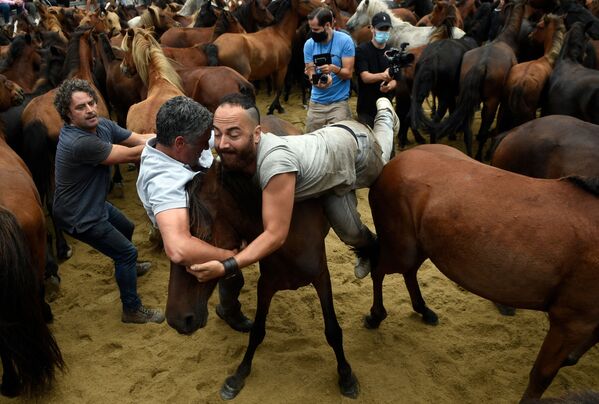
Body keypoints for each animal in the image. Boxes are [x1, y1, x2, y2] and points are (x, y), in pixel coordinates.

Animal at [364, 143, 599, 400]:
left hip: (420, 247)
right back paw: (376, 316)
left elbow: (570, 358)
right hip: (401, 250)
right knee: (378, 270)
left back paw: (423, 310)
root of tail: (395, 161)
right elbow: (542, 375)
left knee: (409, 272)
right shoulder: (570, 323)